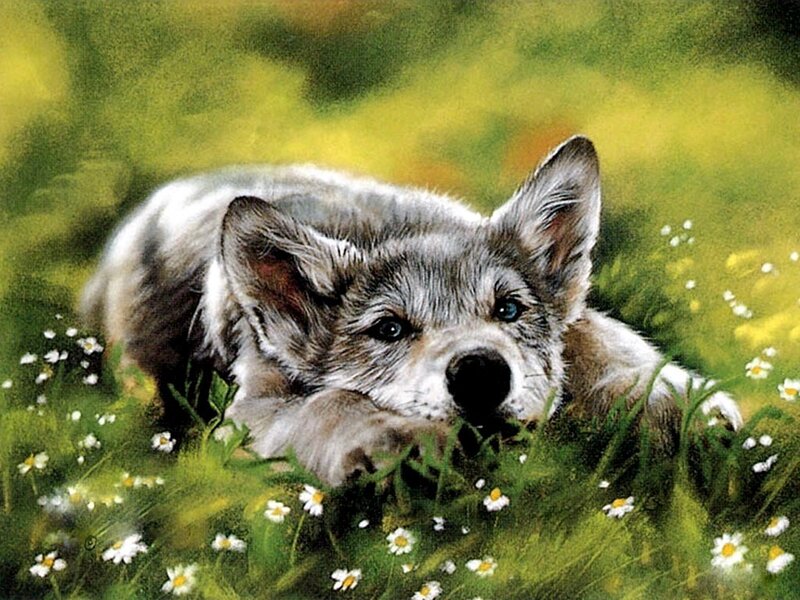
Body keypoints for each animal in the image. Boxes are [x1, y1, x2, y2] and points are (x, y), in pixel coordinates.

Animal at [81, 136, 741, 485]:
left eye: (509, 309)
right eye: (388, 328)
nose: (480, 373)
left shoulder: (575, 323)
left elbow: (601, 339)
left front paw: (673, 400)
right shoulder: (254, 406)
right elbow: (329, 404)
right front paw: (391, 438)